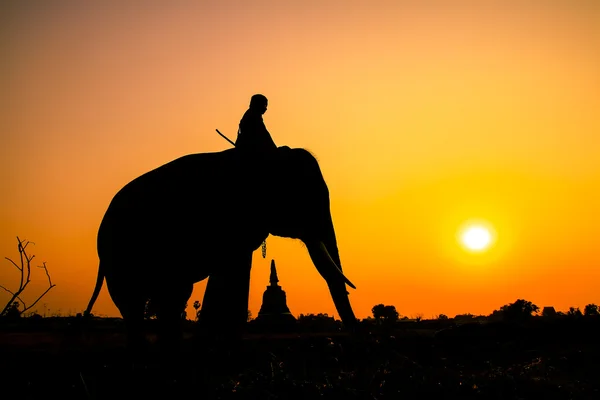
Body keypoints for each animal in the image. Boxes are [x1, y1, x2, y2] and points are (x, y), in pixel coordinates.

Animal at [84, 145, 356, 348]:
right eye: (302, 195)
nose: (350, 336)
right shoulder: (226, 217)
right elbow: (228, 271)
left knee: (172, 296)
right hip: (117, 254)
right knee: (133, 302)